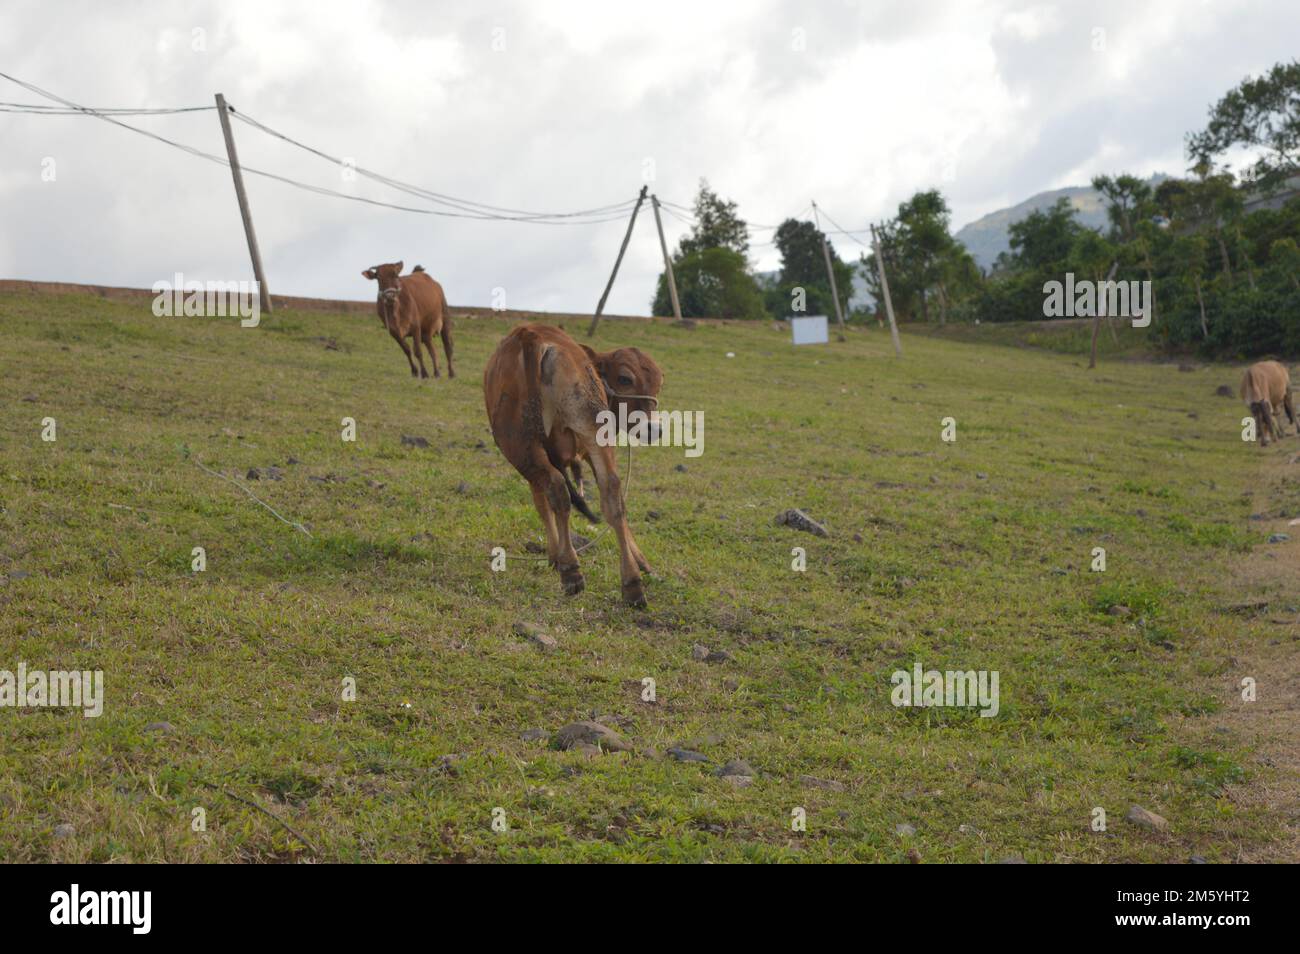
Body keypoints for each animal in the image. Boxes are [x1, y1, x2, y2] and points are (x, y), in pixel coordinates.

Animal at [484, 324, 664, 606]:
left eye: (659, 383)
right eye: (625, 378)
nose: (654, 429)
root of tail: (530, 334)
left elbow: (542, 504)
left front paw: (554, 556)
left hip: (520, 445)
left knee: (558, 490)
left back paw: (571, 570)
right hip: (590, 432)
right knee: (612, 495)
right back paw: (631, 584)